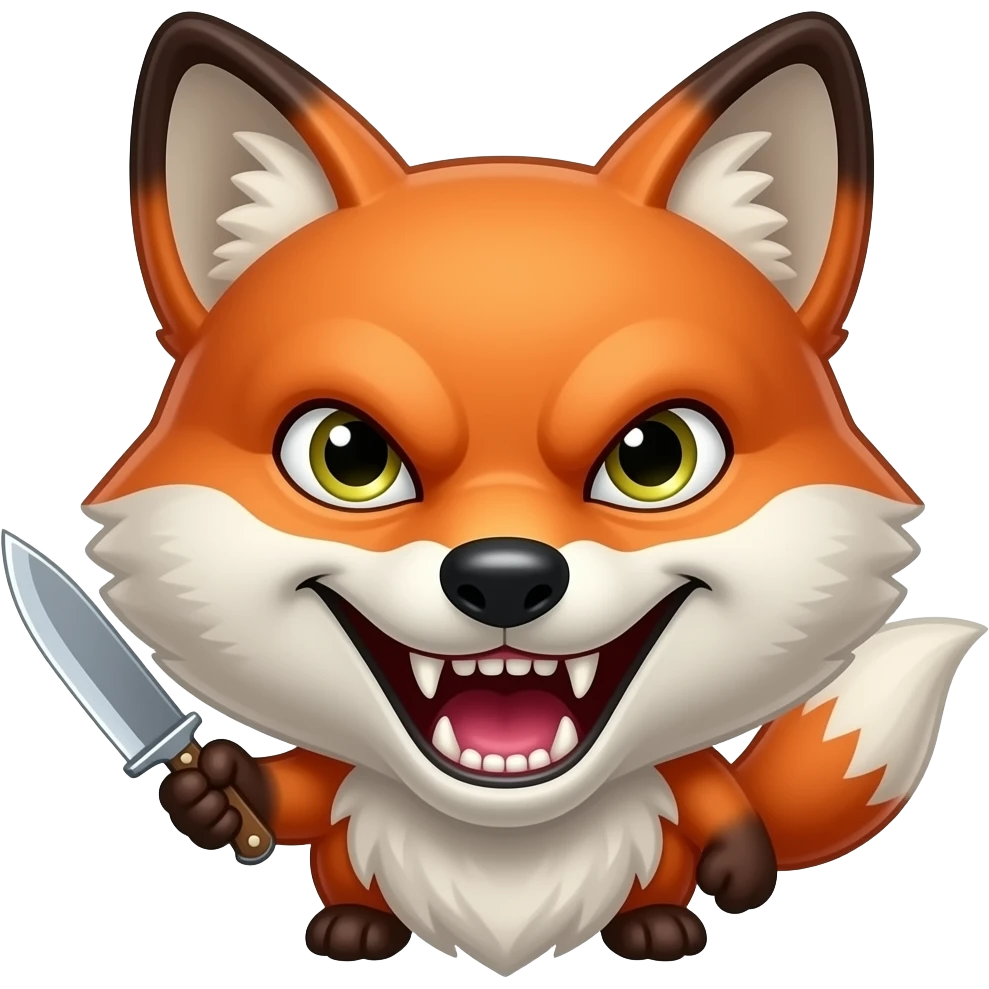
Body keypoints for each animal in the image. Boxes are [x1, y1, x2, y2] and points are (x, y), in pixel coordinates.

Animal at [78, 7, 983, 978]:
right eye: (347, 456)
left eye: (654, 456)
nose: (505, 576)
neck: (505, 838)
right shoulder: (330, 781)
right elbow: (289, 795)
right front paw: (215, 791)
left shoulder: (689, 779)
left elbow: (719, 796)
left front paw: (741, 866)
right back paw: (356, 926)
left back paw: (655, 928)